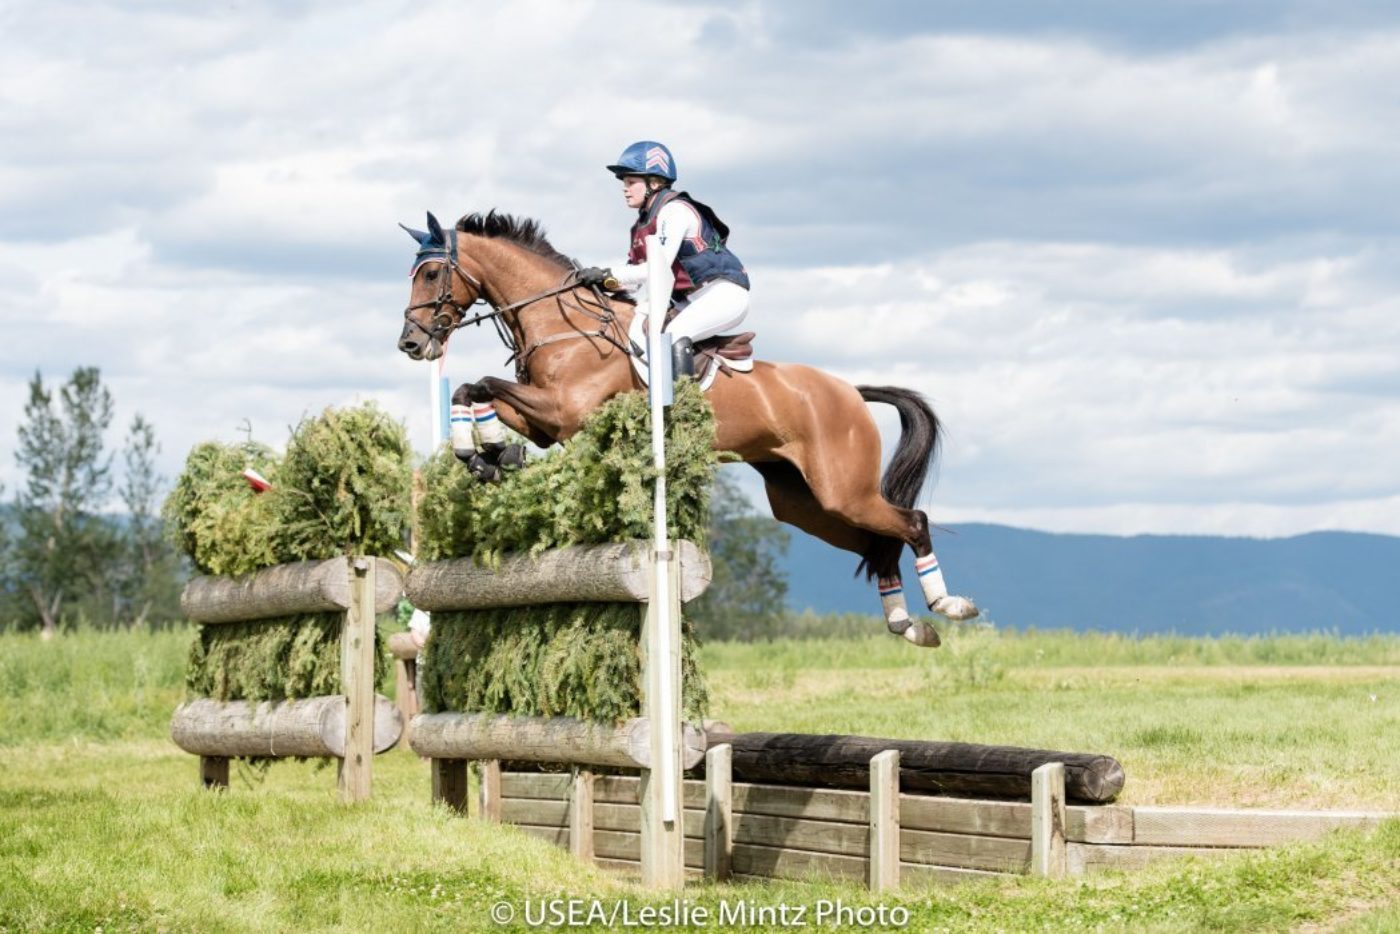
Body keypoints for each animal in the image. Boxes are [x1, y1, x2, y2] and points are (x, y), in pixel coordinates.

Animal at [400, 211, 980, 649]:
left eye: (430, 275)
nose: (411, 343)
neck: (562, 323)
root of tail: (849, 393)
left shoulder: (565, 411)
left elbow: (480, 386)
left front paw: (488, 453)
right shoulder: (546, 420)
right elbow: (472, 390)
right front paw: (486, 455)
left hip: (843, 489)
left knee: (911, 522)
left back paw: (947, 605)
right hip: (804, 502)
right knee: (876, 541)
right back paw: (906, 624)